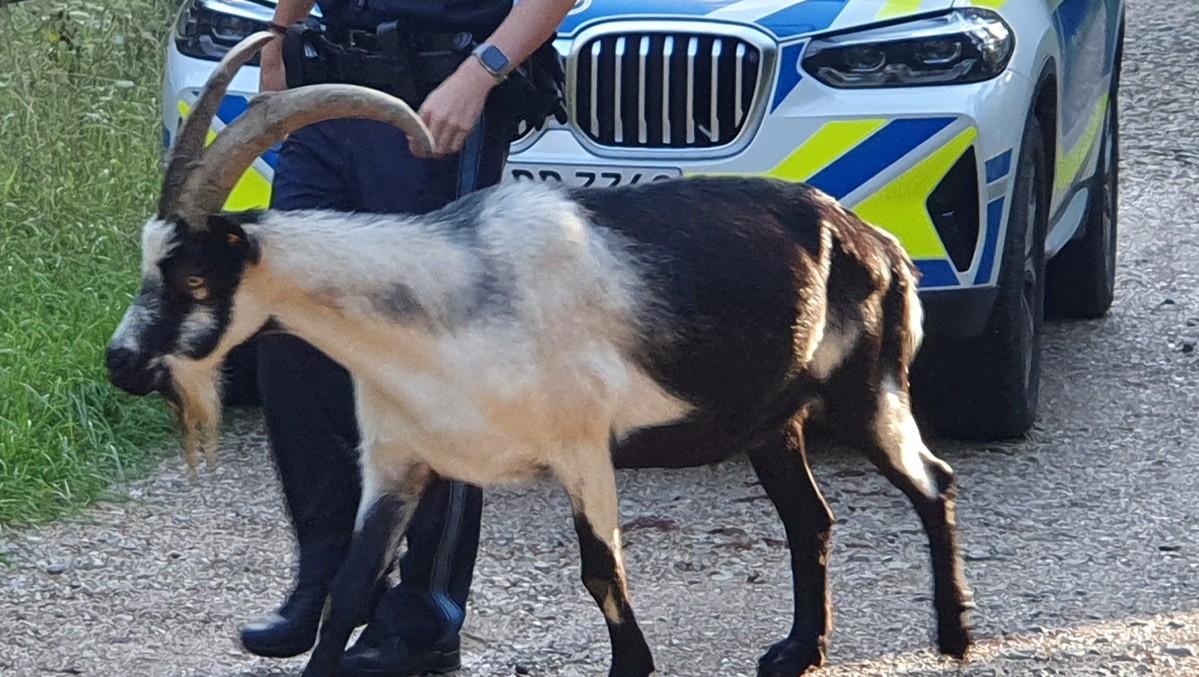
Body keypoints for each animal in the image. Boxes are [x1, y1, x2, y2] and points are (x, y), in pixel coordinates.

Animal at [107, 34, 973, 675]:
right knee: (810, 520)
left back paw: (954, 635)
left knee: (932, 481)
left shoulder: (581, 446)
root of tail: (876, 240)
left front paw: (633, 666)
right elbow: (349, 592)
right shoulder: (399, 458)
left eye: (191, 275)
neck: (443, 307)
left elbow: (601, 572)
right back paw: (797, 649)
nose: (120, 361)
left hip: (866, 389)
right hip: (773, 420)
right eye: (146, 263)